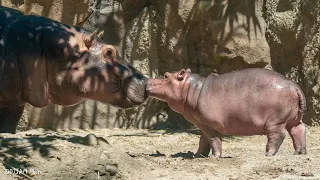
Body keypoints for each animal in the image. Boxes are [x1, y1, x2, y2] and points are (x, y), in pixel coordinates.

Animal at [146, 68, 306, 158]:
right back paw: (299, 152)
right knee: (299, 129)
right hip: (293, 118)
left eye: (166, 76)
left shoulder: (211, 125)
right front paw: (197, 155)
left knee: (278, 135)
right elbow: (203, 141)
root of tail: (295, 86)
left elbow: (214, 141)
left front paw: (215, 157)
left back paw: (268, 154)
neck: (191, 89)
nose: (147, 81)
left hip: (275, 121)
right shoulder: (204, 125)